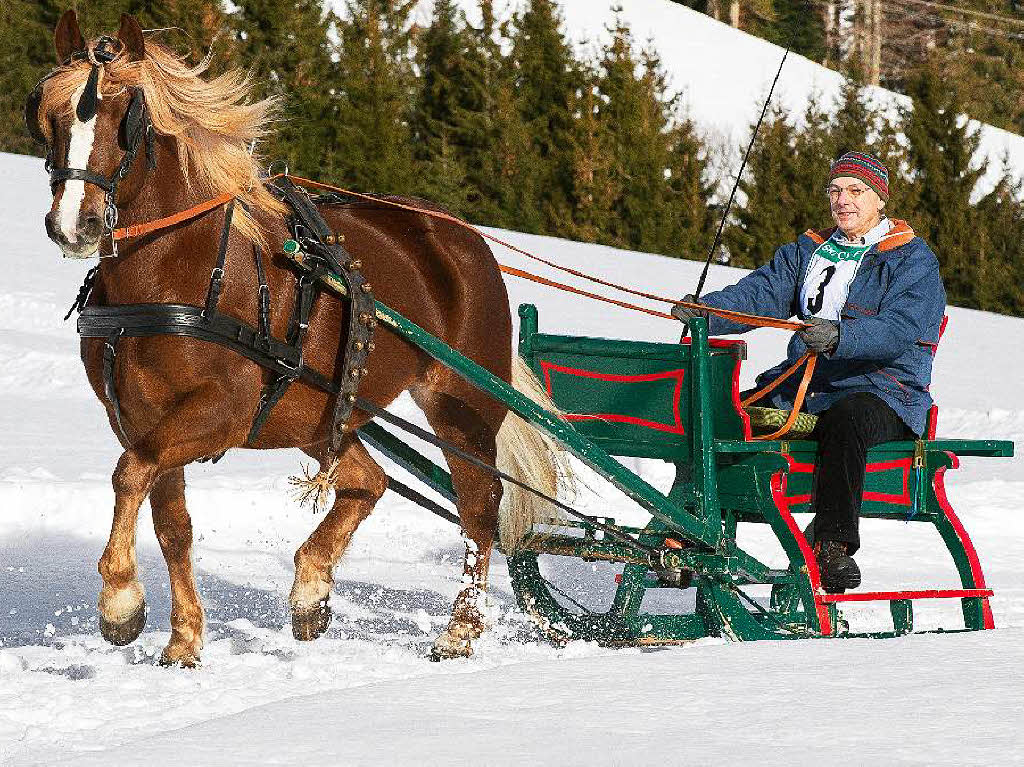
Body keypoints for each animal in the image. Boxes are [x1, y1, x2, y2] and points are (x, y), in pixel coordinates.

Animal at [28, 10, 565, 663]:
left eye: (127, 117)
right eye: (46, 114)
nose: (72, 226)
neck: (175, 270)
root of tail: (460, 237)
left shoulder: (220, 412)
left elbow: (129, 474)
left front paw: (120, 603)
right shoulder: (138, 415)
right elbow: (171, 521)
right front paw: (183, 640)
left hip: (460, 402)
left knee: (479, 507)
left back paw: (460, 629)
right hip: (320, 411)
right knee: (368, 482)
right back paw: (310, 591)